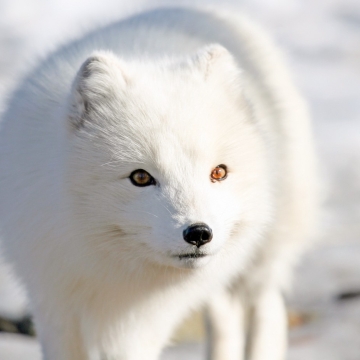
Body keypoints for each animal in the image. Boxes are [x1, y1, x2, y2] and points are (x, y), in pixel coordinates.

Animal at [0, 6, 318, 360]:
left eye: (218, 172)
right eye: (141, 177)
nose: (199, 233)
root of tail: (201, 9)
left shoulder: (144, 324)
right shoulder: (54, 301)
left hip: (264, 253)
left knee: (267, 306)